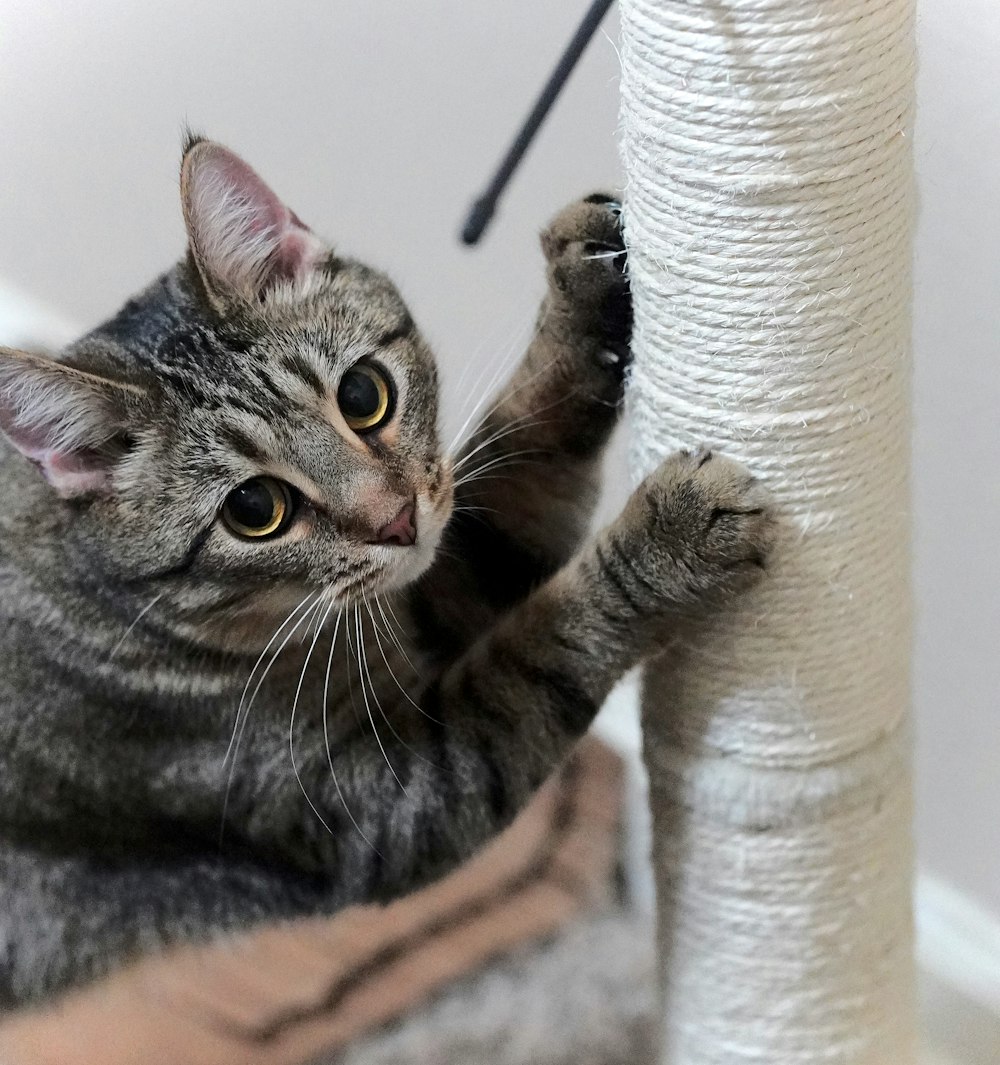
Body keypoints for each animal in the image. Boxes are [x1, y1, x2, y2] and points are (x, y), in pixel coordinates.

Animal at [0, 137, 775, 1001]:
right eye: (254, 508)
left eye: (363, 393)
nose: (395, 520)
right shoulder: (385, 802)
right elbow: (544, 649)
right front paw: (670, 536)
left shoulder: (441, 580)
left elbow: (527, 446)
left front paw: (583, 289)